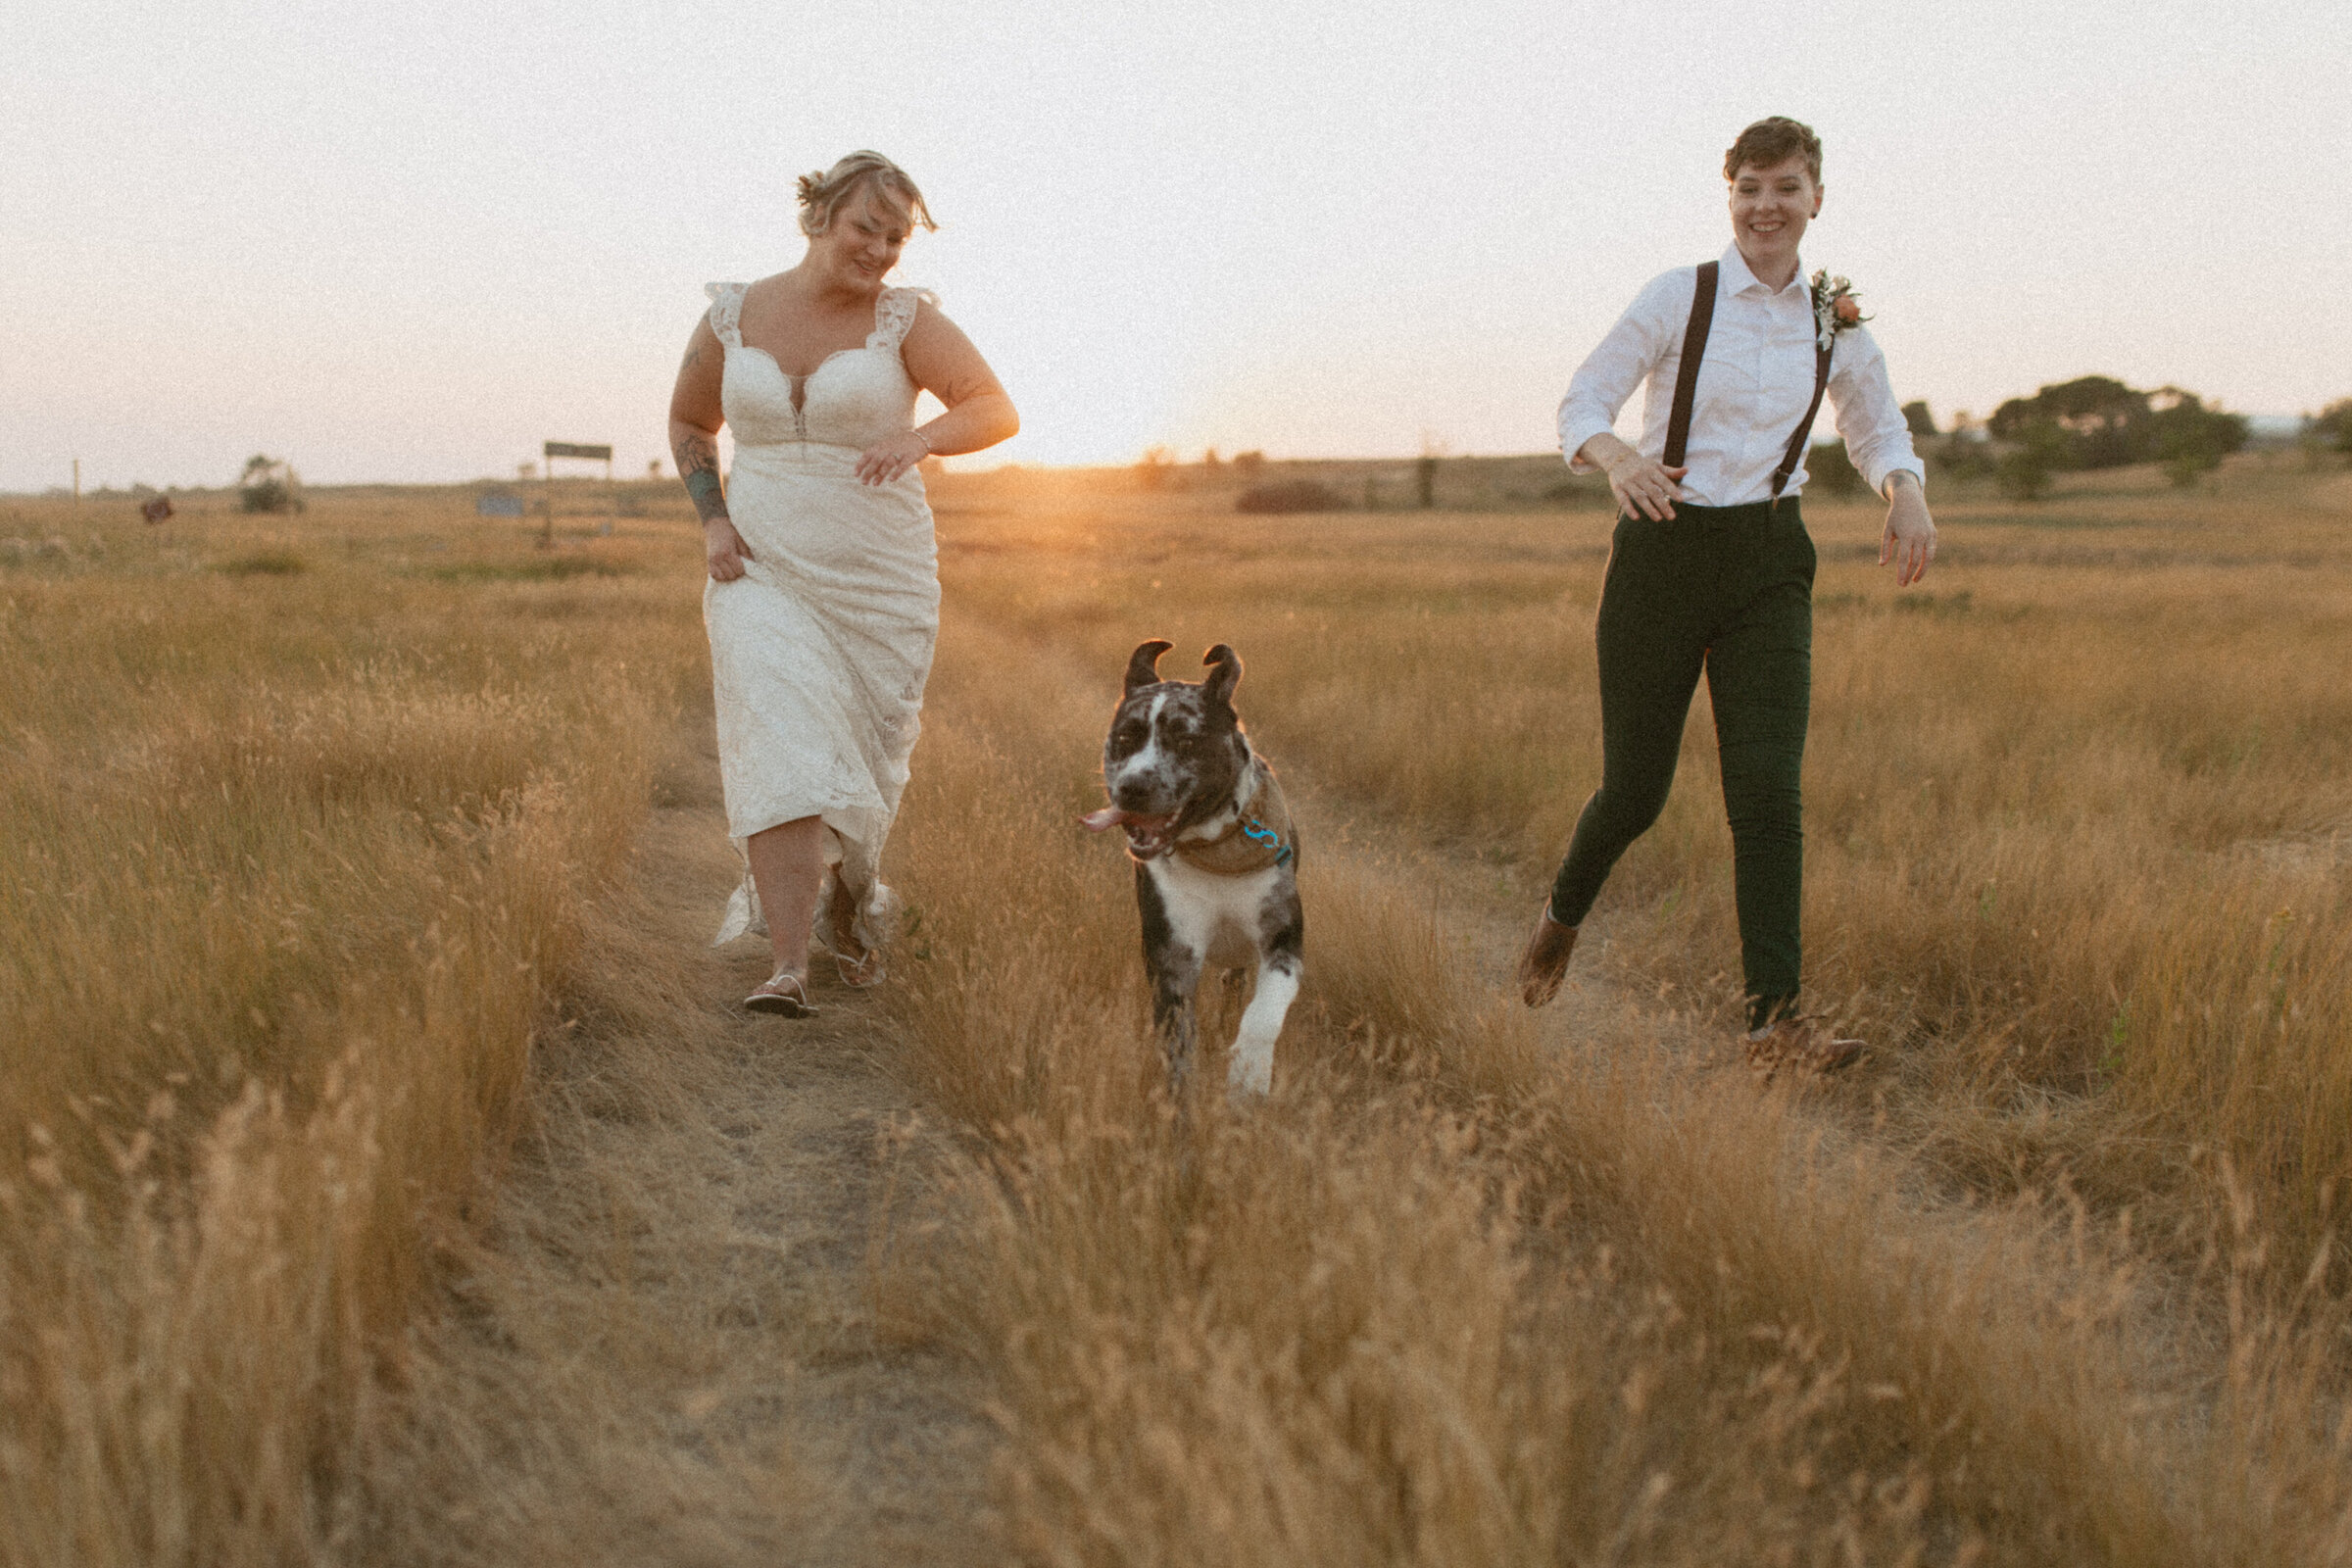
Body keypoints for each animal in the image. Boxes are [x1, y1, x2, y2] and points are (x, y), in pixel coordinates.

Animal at [1082, 644, 1307, 1100]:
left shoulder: (1283, 938)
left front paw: (1249, 1074)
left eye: (1186, 740)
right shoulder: (1174, 955)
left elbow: (1264, 1013)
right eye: (1125, 738)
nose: (1133, 786)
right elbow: (1178, 1042)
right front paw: (1179, 1102)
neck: (1213, 846)